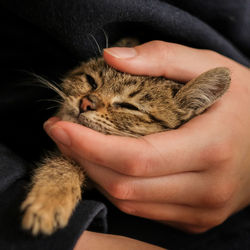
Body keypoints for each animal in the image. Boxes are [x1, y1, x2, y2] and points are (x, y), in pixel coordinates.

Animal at [21, 39, 230, 236]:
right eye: (91, 81)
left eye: (129, 106)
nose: (86, 102)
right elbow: (64, 163)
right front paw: (50, 198)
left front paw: (49, 200)